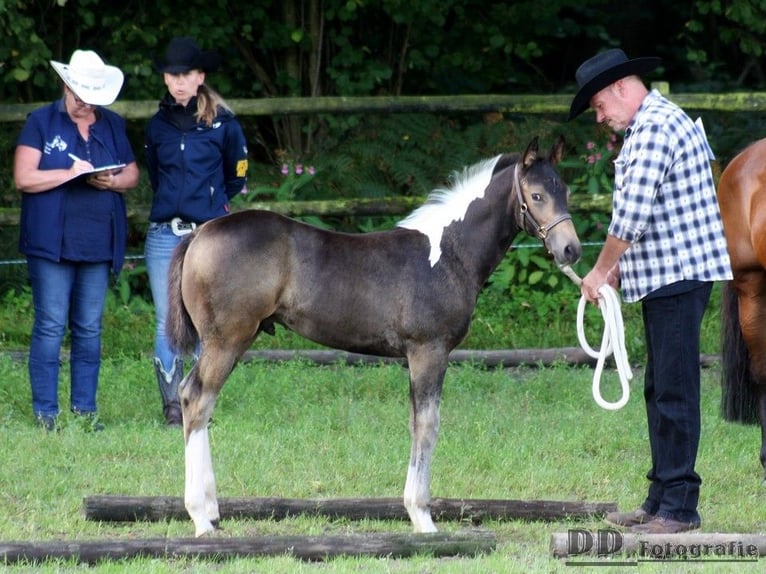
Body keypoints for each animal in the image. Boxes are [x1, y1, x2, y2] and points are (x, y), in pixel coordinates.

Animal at [164, 137, 584, 536]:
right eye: (536, 195)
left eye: (564, 190)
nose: (571, 249)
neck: (447, 253)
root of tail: (199, 234)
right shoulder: (429, 351)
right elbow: (427, 426)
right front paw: (422, 517)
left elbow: (416, 421)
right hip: (227, 339)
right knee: (196, 399)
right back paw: (200, 517)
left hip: (230, 341)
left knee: (200, 401)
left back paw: (212, 510)